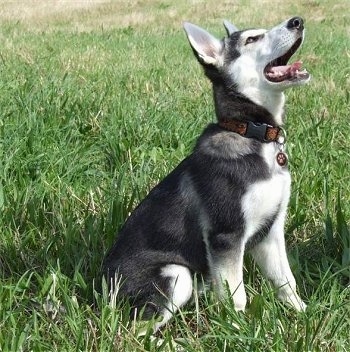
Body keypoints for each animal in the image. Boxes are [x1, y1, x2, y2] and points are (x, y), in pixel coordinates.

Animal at [102, 15, 310, 330]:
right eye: (252, 39)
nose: (297, 21)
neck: (252, 134)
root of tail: (101, 289)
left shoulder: (270, 232)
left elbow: (286, 281)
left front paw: (304, 315)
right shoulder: (226, 235)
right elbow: (237, 295)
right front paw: (240, 330)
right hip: (176, 275)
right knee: (137, 329)